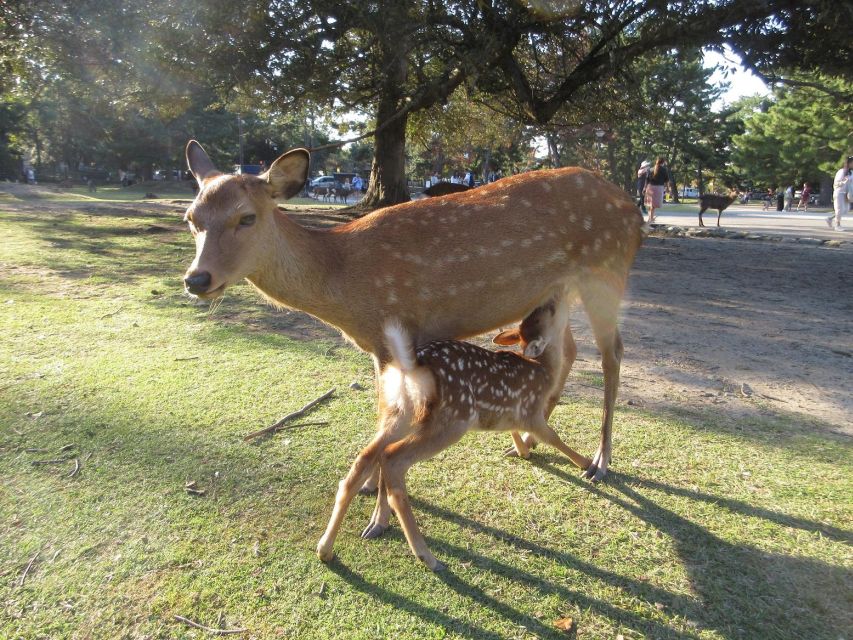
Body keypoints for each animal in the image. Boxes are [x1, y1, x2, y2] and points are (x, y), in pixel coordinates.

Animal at [182, 141, 645, 482]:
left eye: (246, 217)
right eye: (192, 218)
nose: (197, 279)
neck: (342, 281)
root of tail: (632, 209)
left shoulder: (392, 331)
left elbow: (389, 411)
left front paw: (372, 489)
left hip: (607, 271)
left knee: (613, 353)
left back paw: (600, 461)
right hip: (557, 290)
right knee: (568, 350)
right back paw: (529, 441)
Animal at [316, 297, 591, 570]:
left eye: (536, 314)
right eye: (548, 312)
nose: (554, 298)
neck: (544, 370)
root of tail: (410, 367)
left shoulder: (510, 415)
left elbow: (513, 431)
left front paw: (522, 452)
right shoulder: (532, 412)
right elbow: (554, 437)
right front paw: (586, 464)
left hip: (398, 412)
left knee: (365, 457)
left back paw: (325, 549)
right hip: (451, 420)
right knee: (393, 458)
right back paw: (427, 556)